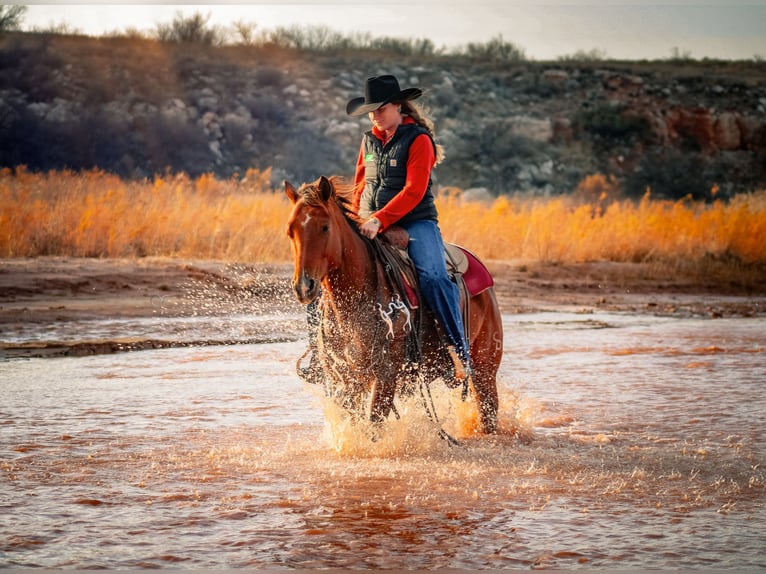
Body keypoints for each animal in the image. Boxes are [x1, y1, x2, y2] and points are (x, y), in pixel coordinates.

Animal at [284, 175, 503, 435]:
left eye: (325, 227)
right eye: (290, 231)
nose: (303, 286)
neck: (353, 305)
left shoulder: (385, 375)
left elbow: (373, 427)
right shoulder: (344, 378)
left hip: (485, 367)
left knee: (488, 409)